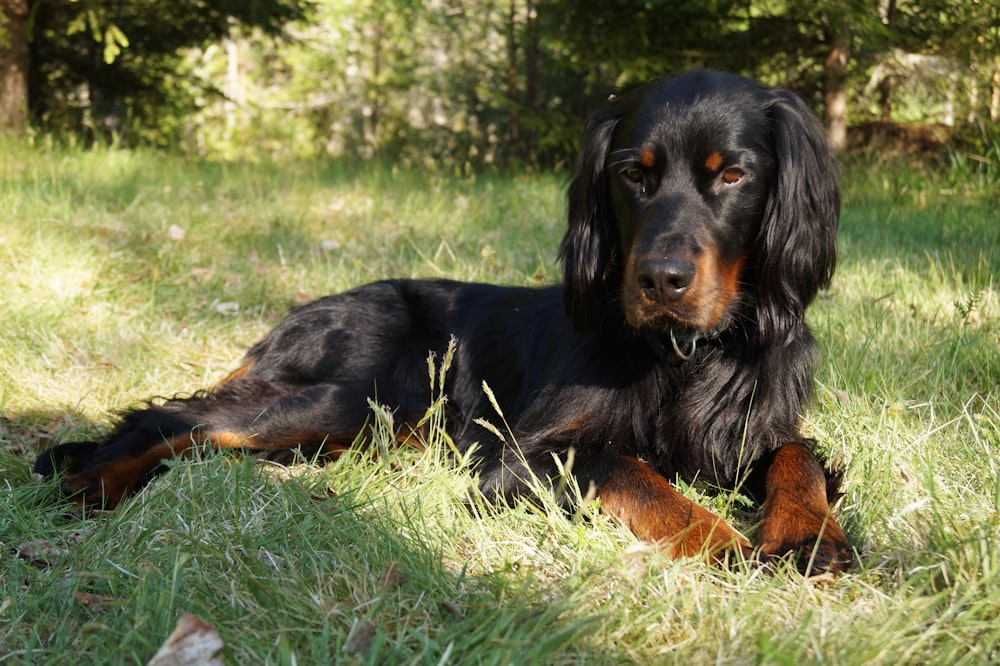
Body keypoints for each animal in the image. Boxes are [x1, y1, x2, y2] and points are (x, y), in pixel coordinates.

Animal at [35, 70, 856, 572]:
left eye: (733, 174)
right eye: (633, 174)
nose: (660, 280)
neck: (686, 353)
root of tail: (299, 315)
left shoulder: (753, 431)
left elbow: (798, 456)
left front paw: (810, 537)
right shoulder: (529, 457)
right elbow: (640, 477)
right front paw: (727, 545)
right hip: (358, 391)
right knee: (180, 418)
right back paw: (92, 485)